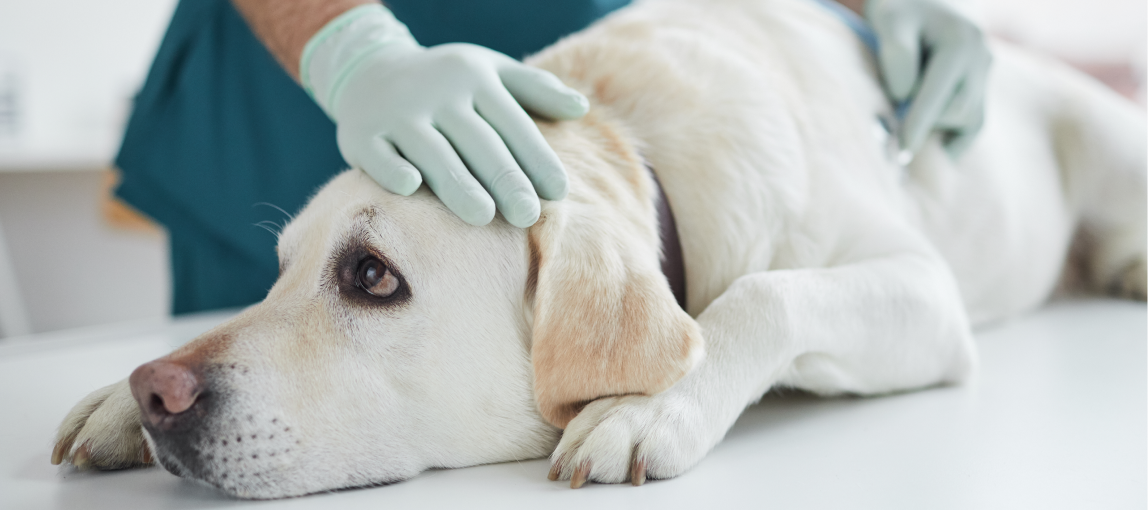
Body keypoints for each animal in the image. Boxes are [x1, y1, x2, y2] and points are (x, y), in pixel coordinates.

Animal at [55, 0, 1148, 498]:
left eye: (369, 276)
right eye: (278, 271)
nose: (157, 391)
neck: (631, 141)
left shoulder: (923, 290)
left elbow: (759, 295)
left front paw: (646, 406)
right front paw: (112, 398)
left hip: (1103, 138)